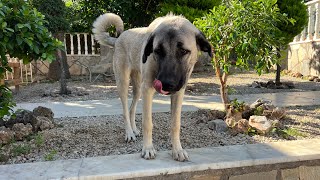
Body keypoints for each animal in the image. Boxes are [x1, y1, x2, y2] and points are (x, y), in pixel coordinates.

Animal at [93, 12, 212, 162]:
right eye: (158, 51)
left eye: (184, 51)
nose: (166, 84)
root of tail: (119, 38)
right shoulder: (148, 90)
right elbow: (147, 123)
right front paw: (148, 149)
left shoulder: (178, 92)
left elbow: (175, 124)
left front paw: (177, 150)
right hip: (123, 82)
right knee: (125, 110)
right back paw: (129, 133)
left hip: (138, 87)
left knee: (132, 108)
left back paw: (134, 130)